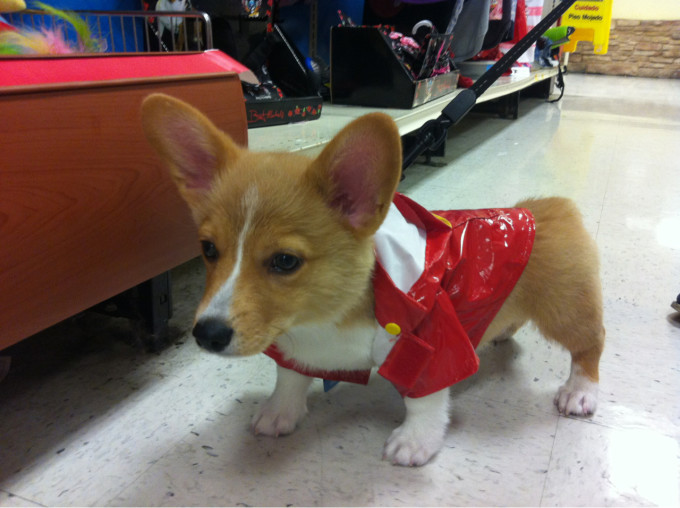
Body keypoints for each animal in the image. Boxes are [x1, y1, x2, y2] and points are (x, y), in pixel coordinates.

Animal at [141, 93, 604, 466]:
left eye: (285, 261)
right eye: (208, 249)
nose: (207, 335)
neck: (321, 319)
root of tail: (547, 206)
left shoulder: (431, 345)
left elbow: (425, 401)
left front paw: (414, 443)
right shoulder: (294, 347)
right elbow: (289, 379)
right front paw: (279, 413)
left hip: (565, 310)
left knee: (590, 344)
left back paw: (579, 392)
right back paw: (500, 330)